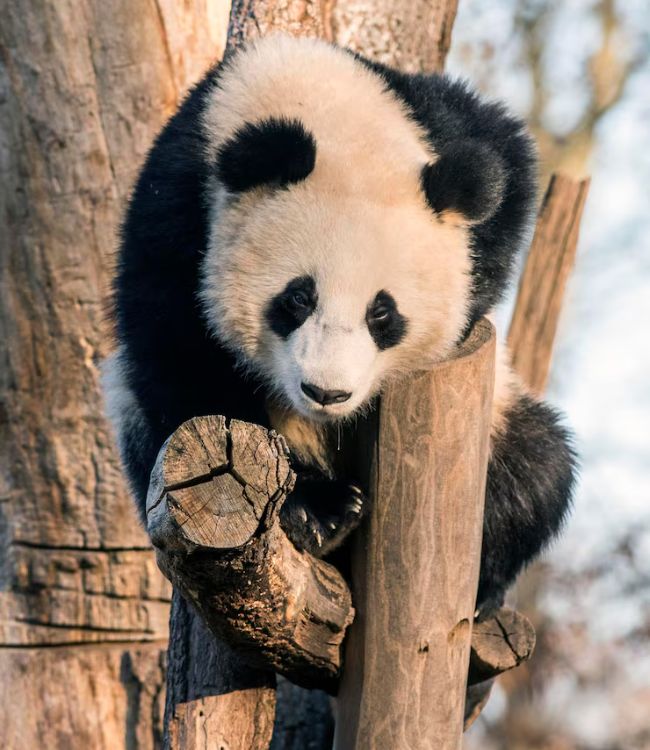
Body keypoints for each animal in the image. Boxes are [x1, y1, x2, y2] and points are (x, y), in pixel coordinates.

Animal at [104, 34, 576, 619]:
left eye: (382, 313)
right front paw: (313, 508)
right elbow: (183, 360)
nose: (326, 393)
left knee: (536, 471)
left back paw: (485, 582)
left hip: (499, 419)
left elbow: (502, 183)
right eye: (298, 298)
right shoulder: (178, 209)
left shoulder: (447, 124)